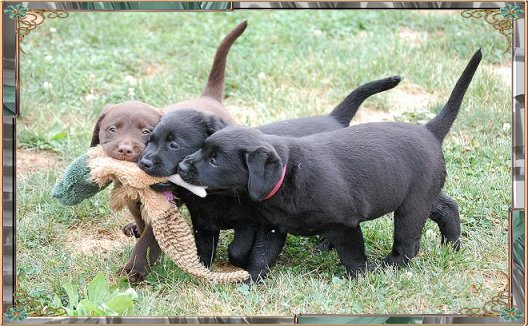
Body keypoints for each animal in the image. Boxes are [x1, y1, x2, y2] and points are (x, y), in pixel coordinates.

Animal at [139, 76, 400, 270]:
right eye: (149, 141)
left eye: (174, 145)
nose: (143, 162)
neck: (215, 196)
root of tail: (333, 118)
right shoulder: (203, 223)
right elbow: (203, 251)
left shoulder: (251, 222)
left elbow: (238, 249)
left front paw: (241, 263)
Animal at [178, 49, 482, 278]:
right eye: (202, 148)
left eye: (214, 159)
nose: (181, 167)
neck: (289, 176)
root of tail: (429, 131)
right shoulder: (272, 227)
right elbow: (261, 255)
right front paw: (251, 279)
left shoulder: (345, 224)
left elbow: (353, 256)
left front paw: (362, 276)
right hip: (420, 193)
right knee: (446, 207)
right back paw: (452, 246)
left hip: (411, 205)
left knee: (408, 244)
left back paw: (389, 266)